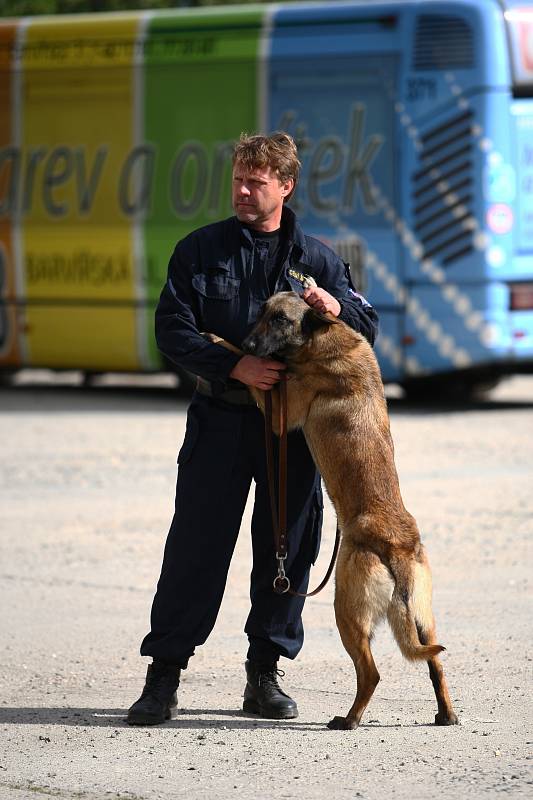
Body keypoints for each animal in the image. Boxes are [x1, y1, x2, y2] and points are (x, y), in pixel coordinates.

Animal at [208, 290, 458, 728]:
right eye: (262, 313)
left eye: (279, 319)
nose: (252, 344)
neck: (324, 338)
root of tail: (396, 548)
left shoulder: (281, 411)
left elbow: (254, 374)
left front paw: (222, 342)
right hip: (423, 620)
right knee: (436, 665)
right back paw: (445, 714)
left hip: (346, 612)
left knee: (371, 673)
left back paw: (349, 719)